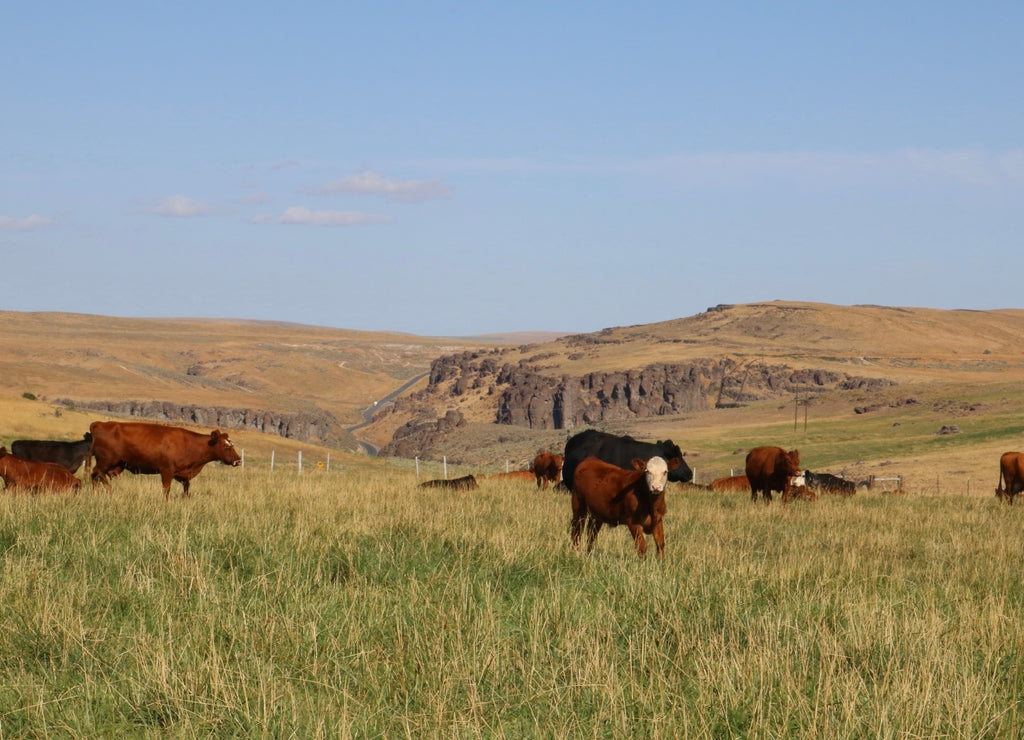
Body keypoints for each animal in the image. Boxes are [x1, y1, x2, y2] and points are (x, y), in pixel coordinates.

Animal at [90, 419, 241, 501]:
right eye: (226, 446)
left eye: (232, 444)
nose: (238, 460)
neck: (189, 444)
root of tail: (100, 424)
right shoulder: (167, 471)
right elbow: (166, 490)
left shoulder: (182, 475)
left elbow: (186, 490)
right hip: (105, 461)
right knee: (97, 473)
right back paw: (109, 490)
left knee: (94, 476)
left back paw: (95, 494)